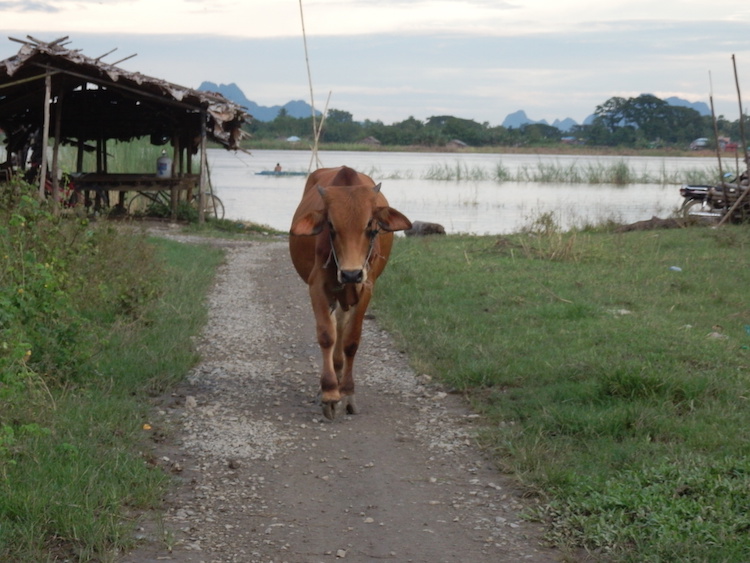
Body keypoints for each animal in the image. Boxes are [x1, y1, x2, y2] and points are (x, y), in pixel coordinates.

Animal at [290, 166, 418, 418]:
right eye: (331, 225)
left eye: (370, 225)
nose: (351, 274)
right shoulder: (316, 286)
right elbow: (326, 335)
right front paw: (330, 392)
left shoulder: (366, 287)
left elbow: (351, 340)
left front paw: (347, 392)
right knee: (334, 325)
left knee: (342, 324)